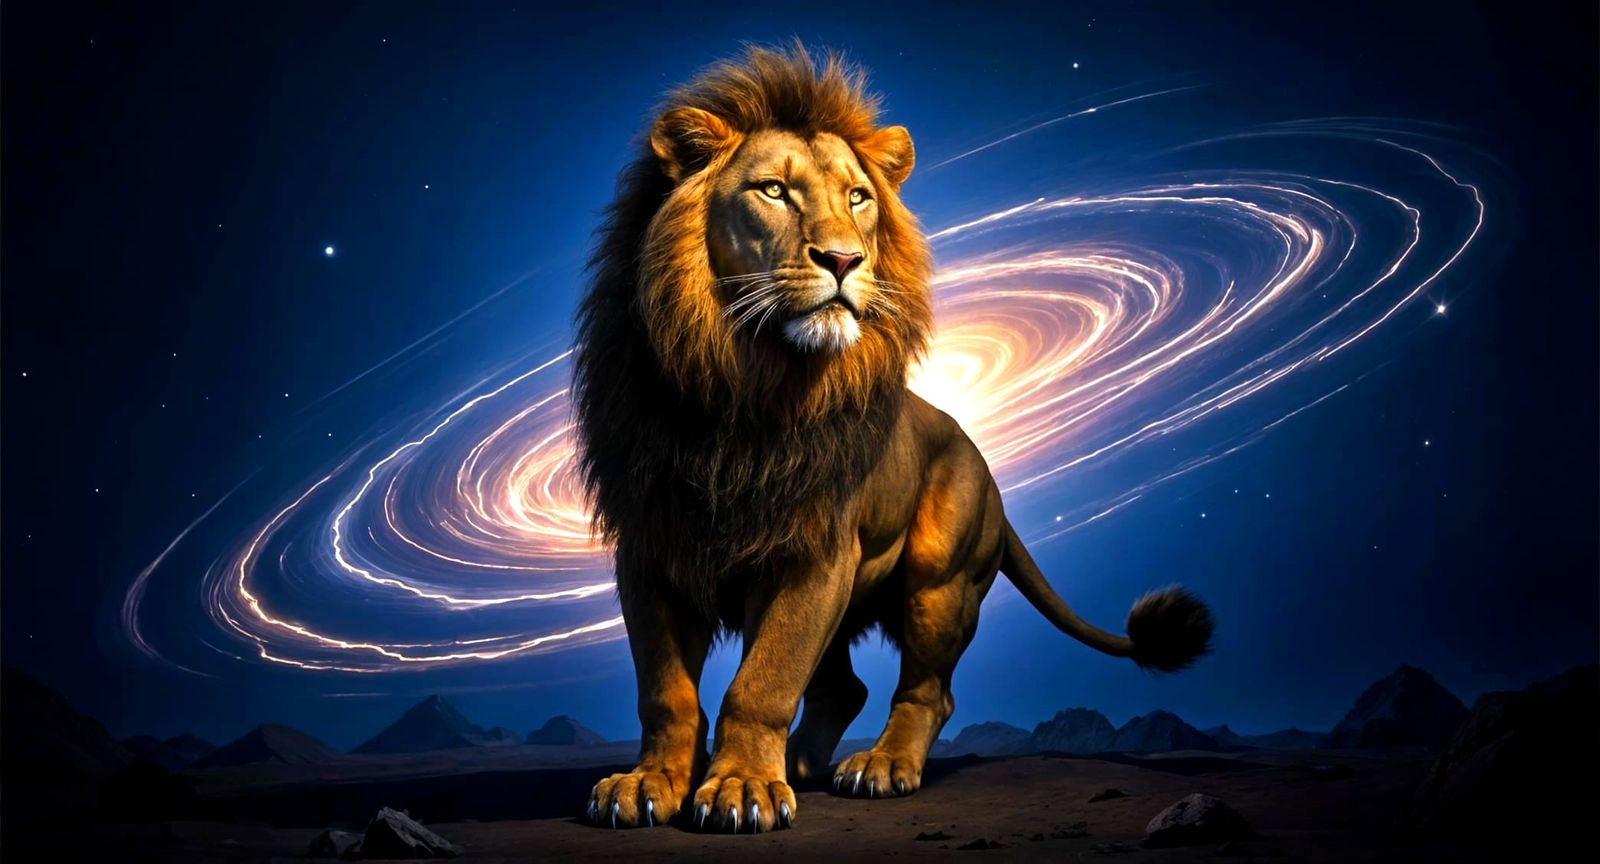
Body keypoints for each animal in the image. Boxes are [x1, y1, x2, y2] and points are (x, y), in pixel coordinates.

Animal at [573, 43, 1213, 833]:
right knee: (842, 687)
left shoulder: (817, 549)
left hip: (939, 578)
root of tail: (982, 460)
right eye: (773, 190)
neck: (744, 381)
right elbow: (667, 691)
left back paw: (878, 768)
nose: (844, 260)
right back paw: (802, 764)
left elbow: (762, 683)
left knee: (929, 691)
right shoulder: (652, 545)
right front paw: (648, 783)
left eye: (857, 198)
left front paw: (742, 788)